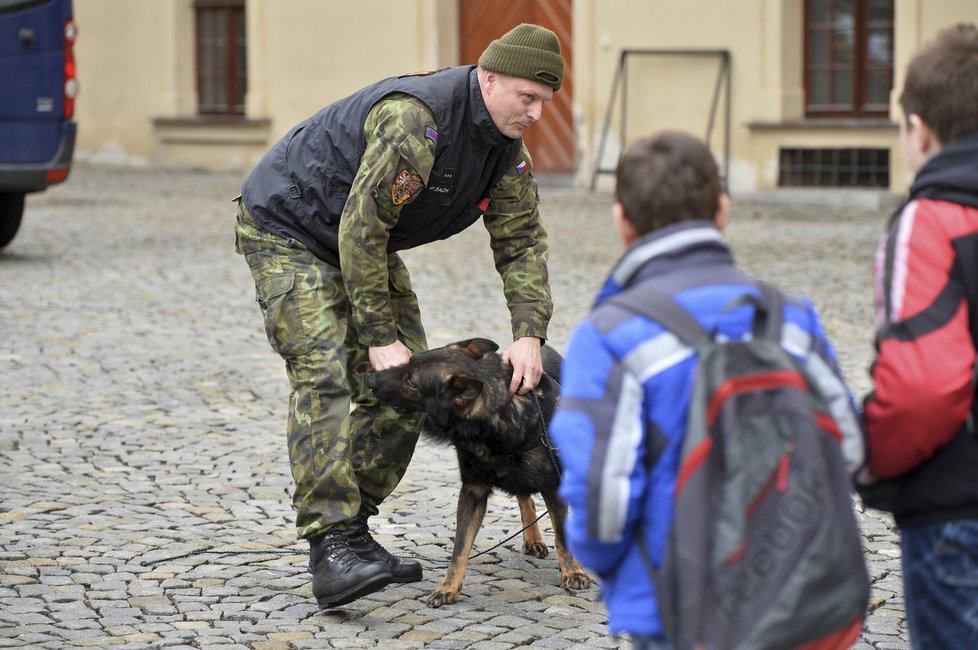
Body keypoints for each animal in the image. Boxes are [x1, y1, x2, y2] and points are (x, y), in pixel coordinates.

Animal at [366, 336, 592, 604]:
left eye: (412, 380)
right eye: (408, 361)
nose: (370, 379)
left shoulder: (554, 488)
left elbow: (562, 537)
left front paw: (573, 572)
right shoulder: (472, 493)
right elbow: (460, 548)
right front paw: (448, 588)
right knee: (525, 498)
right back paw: (533, 538)